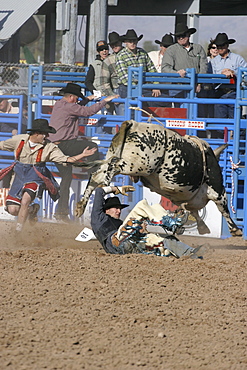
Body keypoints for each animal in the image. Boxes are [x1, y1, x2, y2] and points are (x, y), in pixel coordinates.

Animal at [75, 120, 241, 236]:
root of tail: (133, 124)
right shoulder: (217, 191)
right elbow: (224, 209)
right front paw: (235, 230)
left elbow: (190, 212)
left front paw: (200, 226)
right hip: (135, 165)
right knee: (111, 168)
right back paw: (109, 186)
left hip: (116, 157)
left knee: (96, 175)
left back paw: (81, 206)